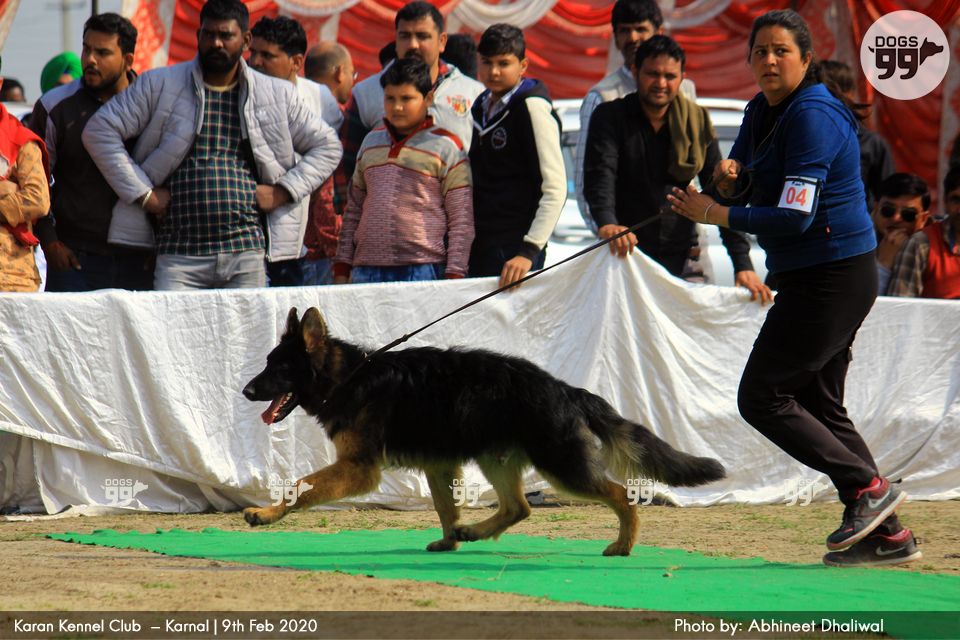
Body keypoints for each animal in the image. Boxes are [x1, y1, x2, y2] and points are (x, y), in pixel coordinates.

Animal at [242, 307, 726, 556]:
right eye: (268, 363)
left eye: (279, 368)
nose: (246, 390)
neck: (349, 377)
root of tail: (563, 388)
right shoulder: (440, 464)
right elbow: (445, 508)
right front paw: (449, 539)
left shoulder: (359, 468)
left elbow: (300, 487)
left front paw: (266, 514)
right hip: (497, 460)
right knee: (519, 508)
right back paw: (472, 533)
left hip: (562, 468)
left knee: (620, 495)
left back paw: (623, 545)